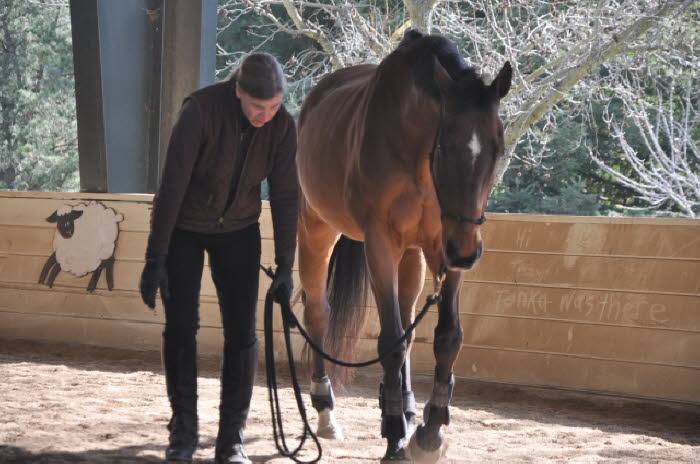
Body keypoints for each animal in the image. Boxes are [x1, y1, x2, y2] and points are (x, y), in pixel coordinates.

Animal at [292, 30, 512, 462]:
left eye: (497, 148)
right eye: (445, 146)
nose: (468, 251)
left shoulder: (444, 245)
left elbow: (446, 336)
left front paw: (430, 429)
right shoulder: (381, 244)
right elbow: (390, 340)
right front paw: (394, 436)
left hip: (416, 255)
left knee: (408, 321)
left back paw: (407, 408)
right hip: (316, 230)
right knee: (318, 313)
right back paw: (326, 411)